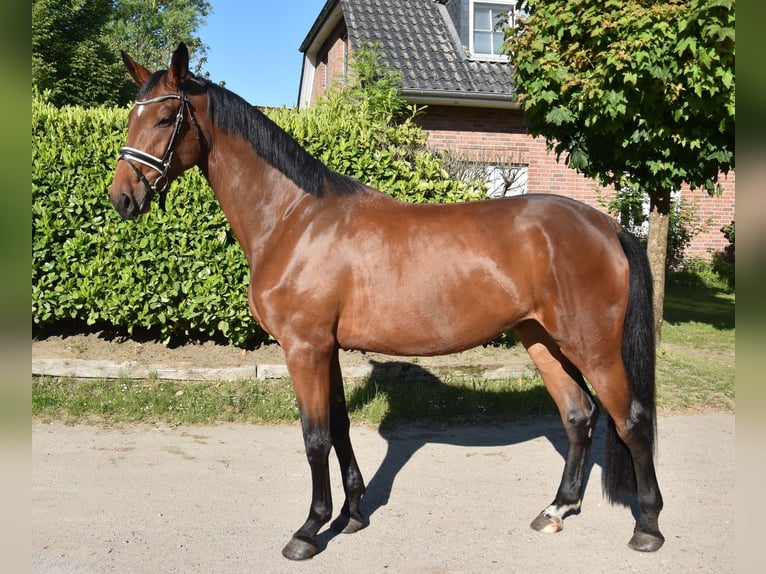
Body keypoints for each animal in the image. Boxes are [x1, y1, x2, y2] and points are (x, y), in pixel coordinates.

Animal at [108, 43, 664, 560]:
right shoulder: (326, 349)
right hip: (542, 339)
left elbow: (314, 438)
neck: (295, 219)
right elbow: (339, 427)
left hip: (593, 347)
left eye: (165, 118)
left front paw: (309, 530)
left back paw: (647, 527)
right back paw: (556, 509)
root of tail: (607, 225)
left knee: (631, 420)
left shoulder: (304, 348)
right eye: (132, 116)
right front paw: (352, 514)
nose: (122, 198)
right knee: (578, 415)